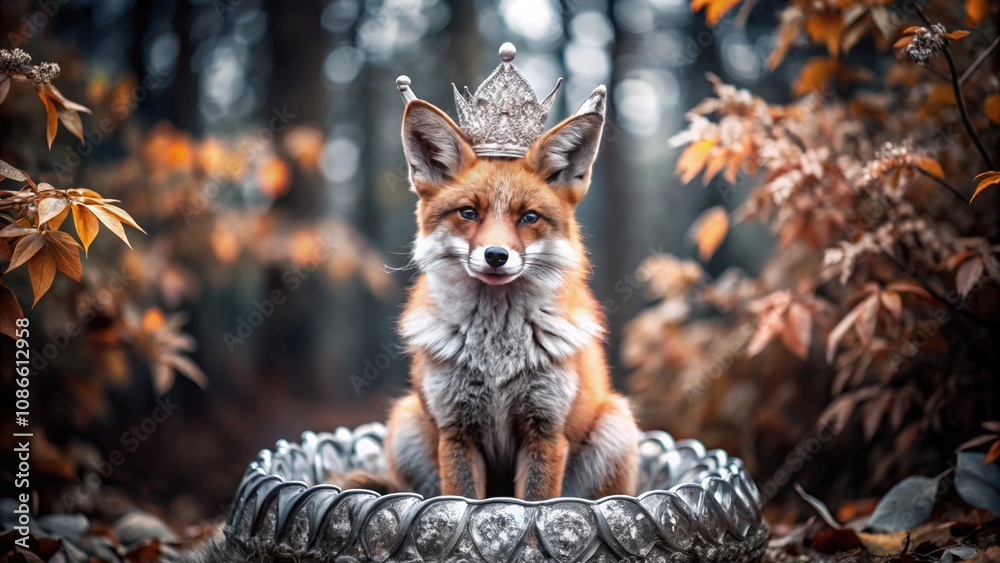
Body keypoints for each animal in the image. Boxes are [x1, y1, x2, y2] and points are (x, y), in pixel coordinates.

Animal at [383, 89, 640, 501]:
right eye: (469, 213)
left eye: (529, 217)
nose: (496, 256)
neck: (497, 357)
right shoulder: (456, 430)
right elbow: (459, 499)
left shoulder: (546, 430)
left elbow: (537, 502)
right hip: (405, 420)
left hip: (616, 425)